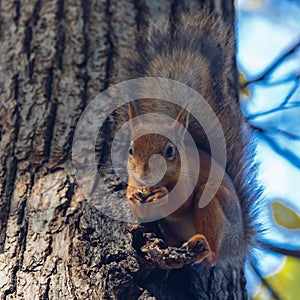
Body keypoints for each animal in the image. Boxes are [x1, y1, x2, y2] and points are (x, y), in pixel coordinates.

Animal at [120, 9, 258, 268]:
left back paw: (205, 249)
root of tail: (237, 243)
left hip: (214, 204)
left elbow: (181, 205)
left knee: (213, 253)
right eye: (131, 150)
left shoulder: (190, 176)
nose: (145, 174)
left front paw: (163, 195)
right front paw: (131, 194)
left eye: (170, 151)